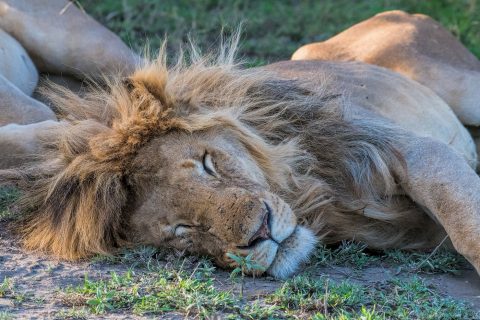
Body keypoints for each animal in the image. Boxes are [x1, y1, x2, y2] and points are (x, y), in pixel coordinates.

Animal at [0, 1, 480, 278]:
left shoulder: (404, 149)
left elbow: (465, 221)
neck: (314, 196)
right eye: (183, 231)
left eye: (207, 162)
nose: (260, 234)